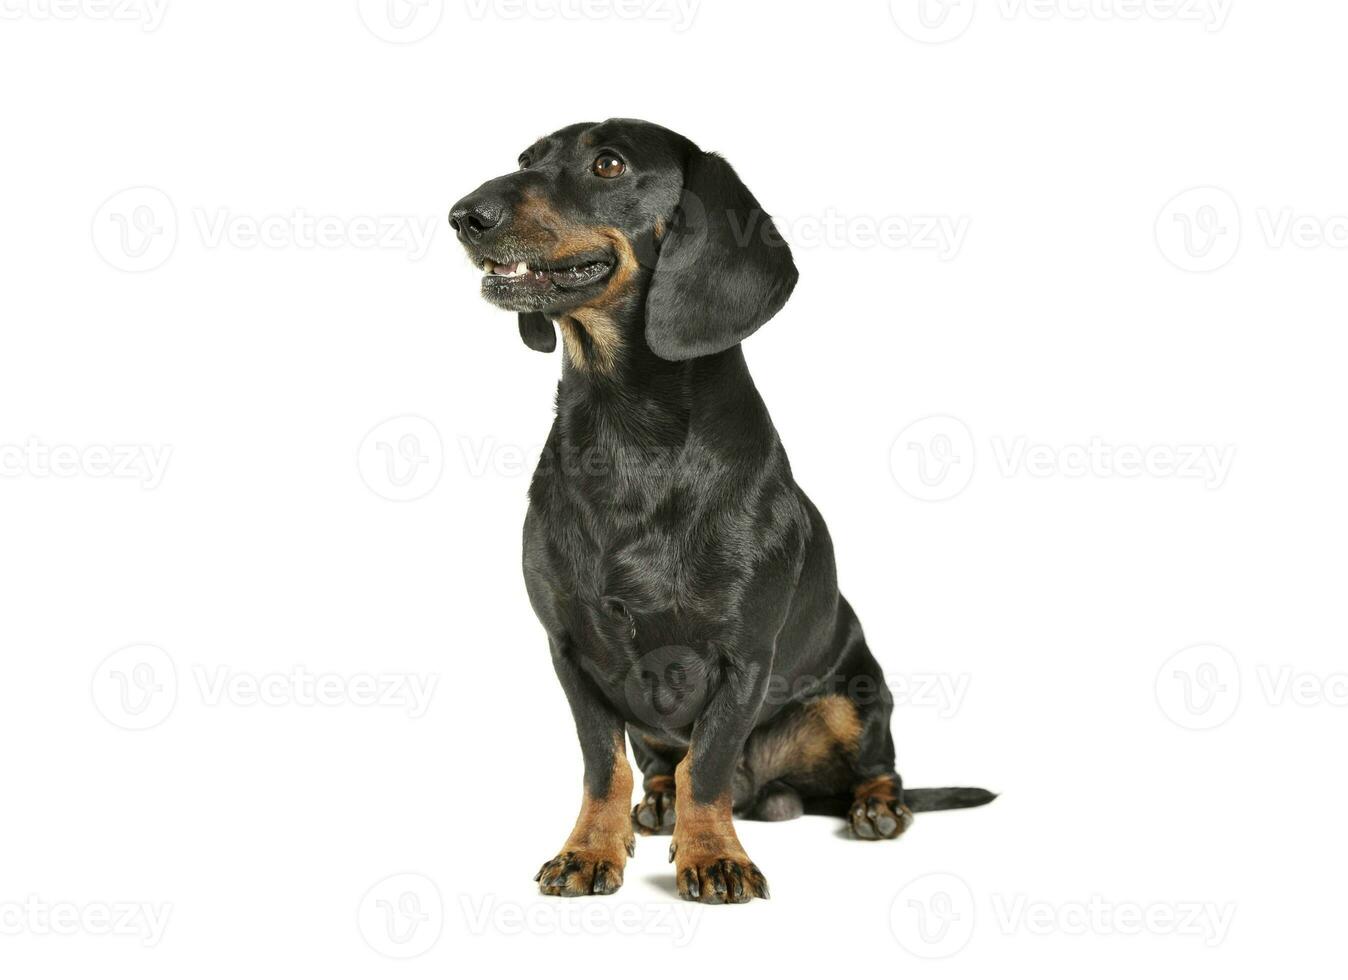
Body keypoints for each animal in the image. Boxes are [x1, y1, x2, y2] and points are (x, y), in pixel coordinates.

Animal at [450, 120, 992, 905]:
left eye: (607, 163)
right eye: (525, 159)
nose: (465, 215)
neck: (629, 434)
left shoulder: (744, 656)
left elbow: (705, 765)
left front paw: (713, 856)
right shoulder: (570, 649)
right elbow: (603, 764)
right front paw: (589, 849)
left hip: (858, 692)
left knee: (872, 766)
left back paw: (875, 807)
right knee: (656, 767)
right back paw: (657, 806)